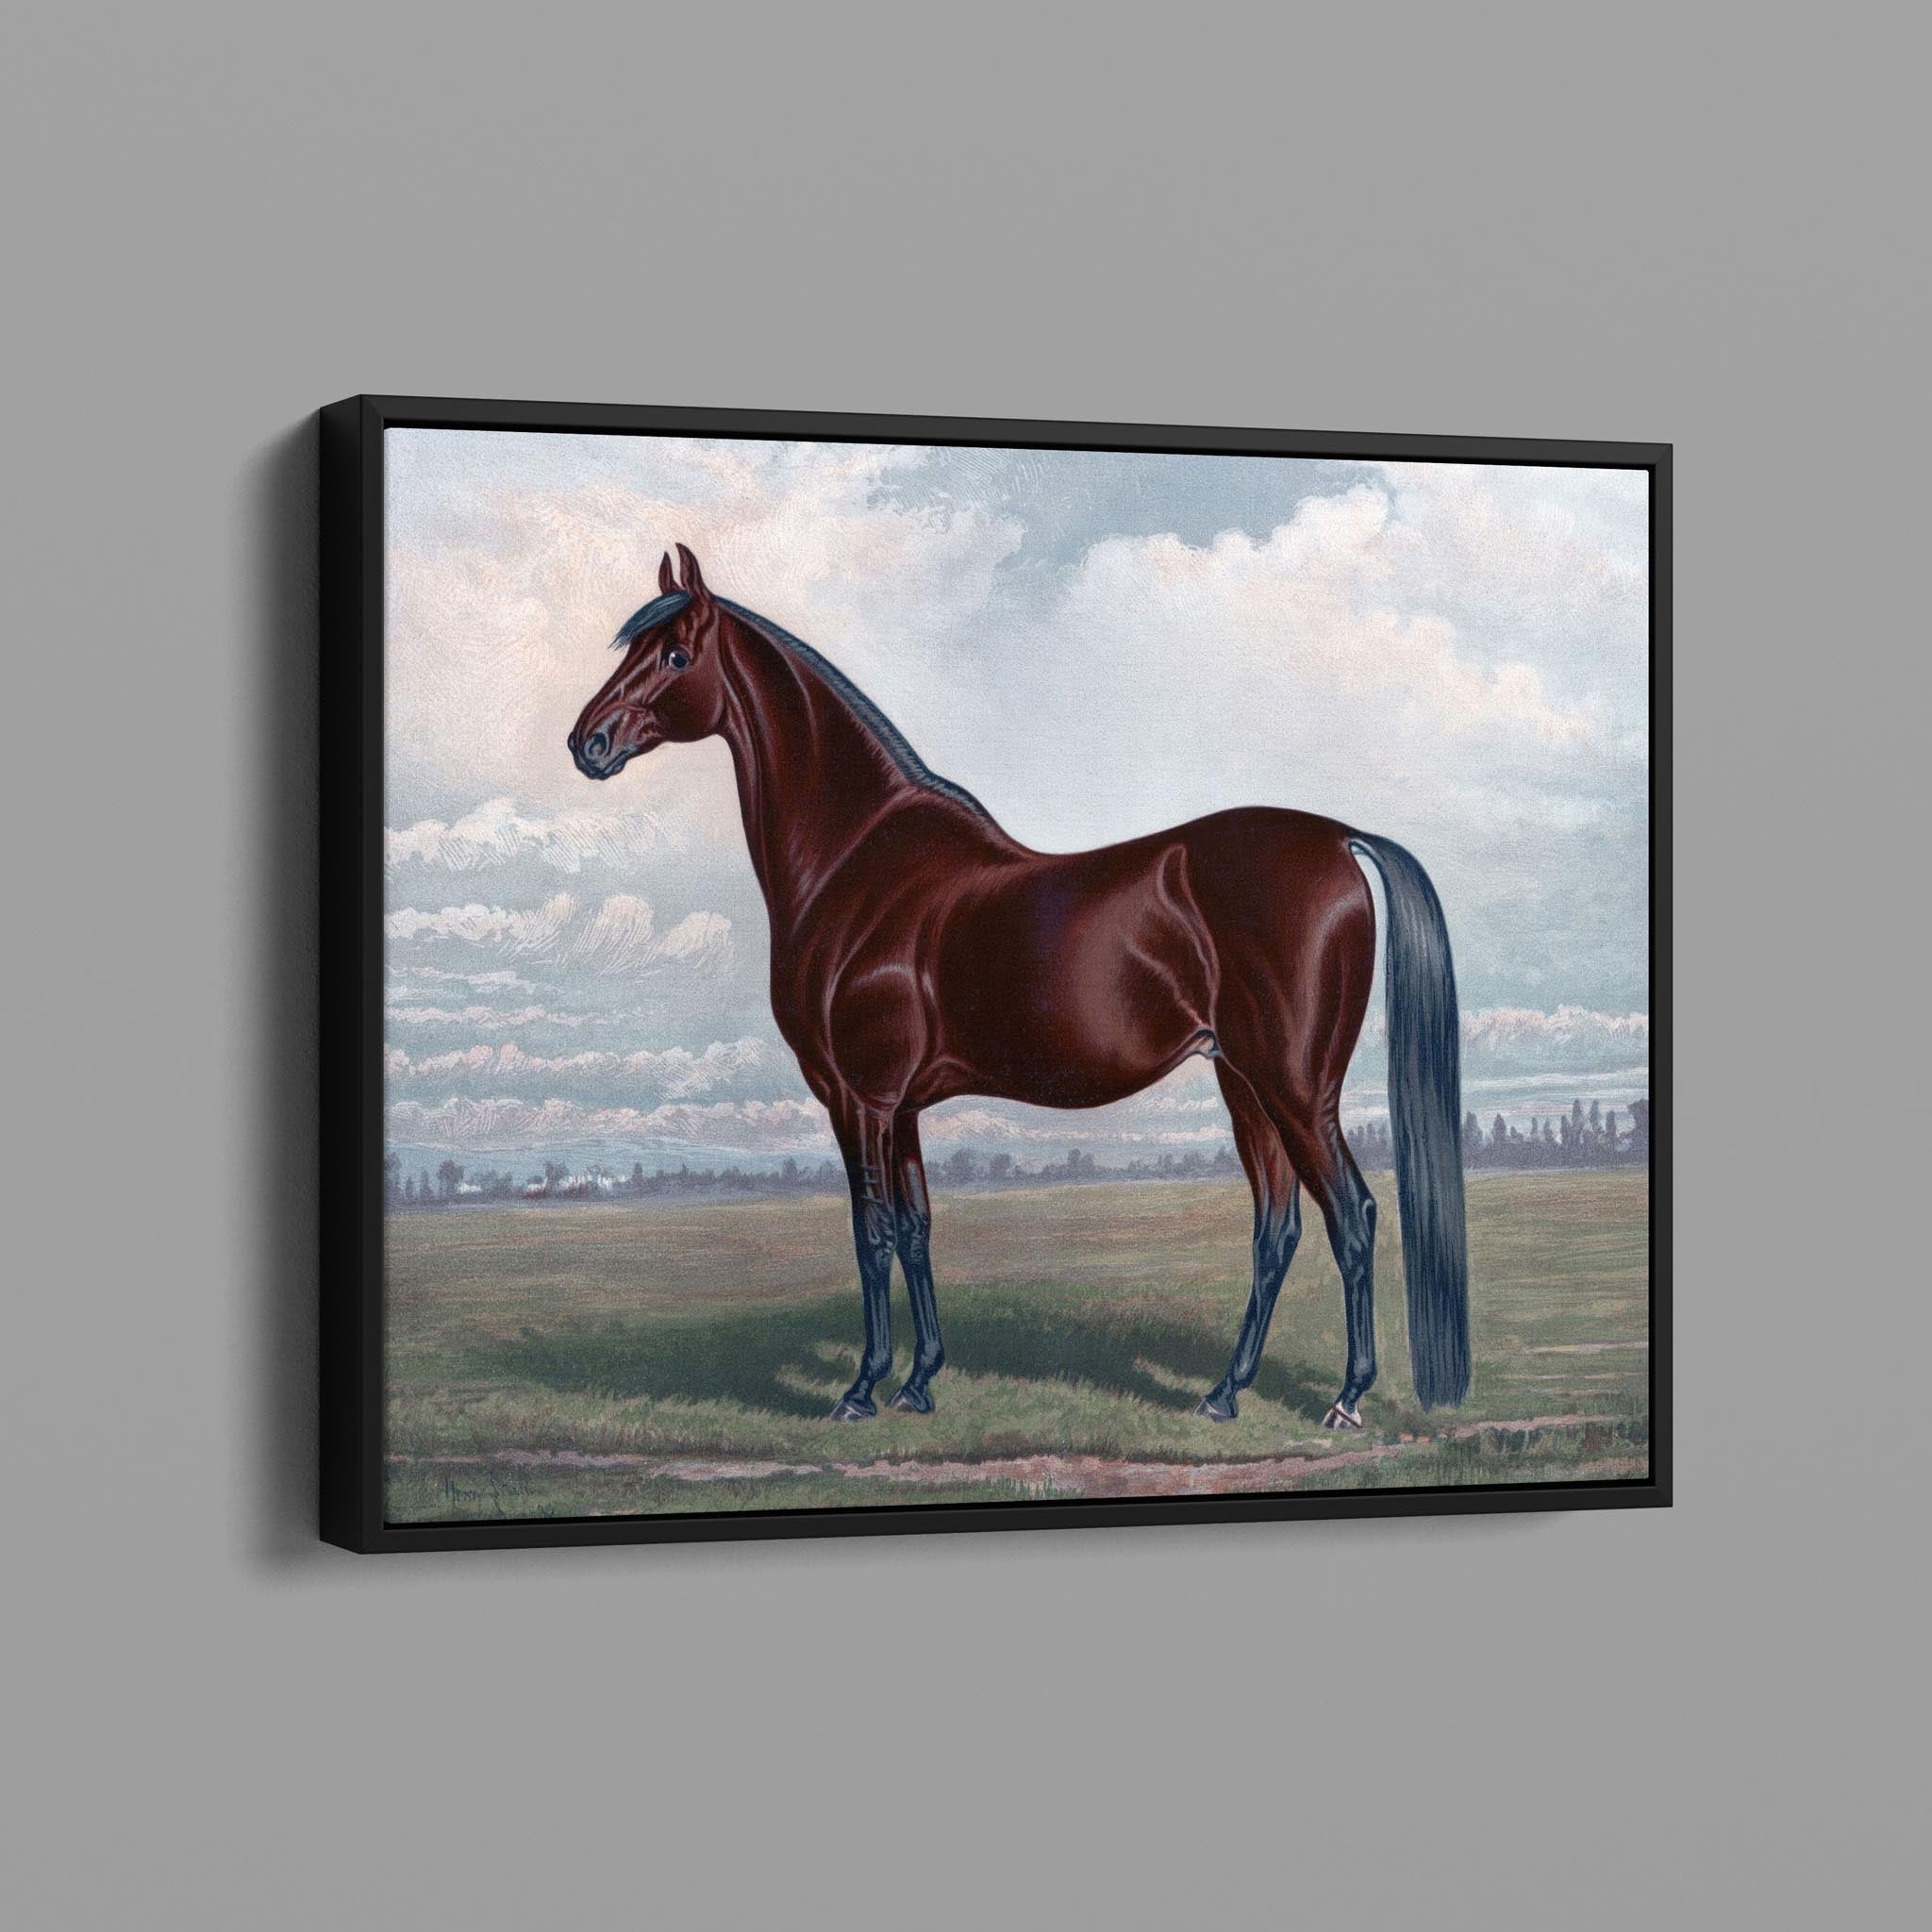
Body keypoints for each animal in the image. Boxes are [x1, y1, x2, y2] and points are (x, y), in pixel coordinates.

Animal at [569, 544, 1469, 1430]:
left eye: (675, 655)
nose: (588, 742)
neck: (856, 860)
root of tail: (1341, 840)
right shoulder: (902, 1107)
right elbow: (918, 1228)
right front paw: (921, 1381)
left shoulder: (859, 1099)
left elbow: (872, 1233)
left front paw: (862, 1388)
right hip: (1244, 1084)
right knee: (1275, 1228)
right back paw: (1223, 1393)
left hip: (1296, 1089)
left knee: (1352, 1218)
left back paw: (1346, 1398)